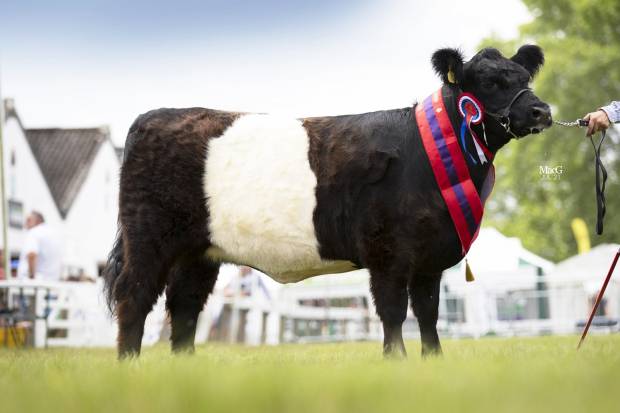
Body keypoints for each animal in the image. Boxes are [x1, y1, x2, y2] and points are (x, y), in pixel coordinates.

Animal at [105, 45, 552, 358]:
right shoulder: (388, 252)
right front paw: (398, 362)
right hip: (149, 239)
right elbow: (393, 312)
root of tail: (150, 117)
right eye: (489, 82)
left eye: (523, 76)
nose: (540, 110)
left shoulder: (429, 258)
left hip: (199, 253)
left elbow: (428, 314)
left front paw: (433, 362)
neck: (427, 153)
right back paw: (130, 366)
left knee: (184, 307)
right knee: (135, 296)